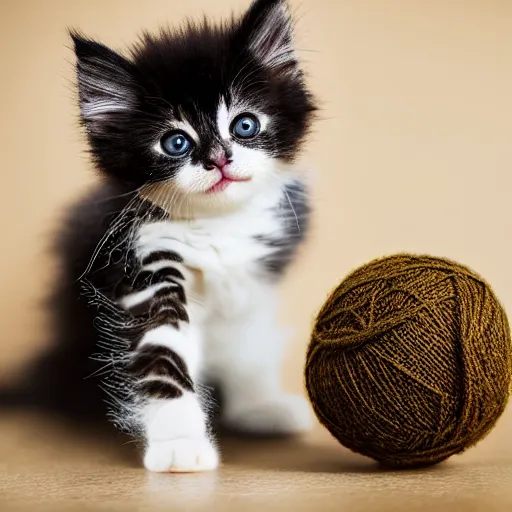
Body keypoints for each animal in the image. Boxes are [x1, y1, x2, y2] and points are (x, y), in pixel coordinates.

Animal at [17, 0, 316, 472]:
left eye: (245, 125)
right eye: (175, 142)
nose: (219, 159)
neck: (217, 225)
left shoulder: (254, 278)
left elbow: (247, 340)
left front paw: (256, 406)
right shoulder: (140, 260)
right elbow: (162, 353)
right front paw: (179, 443)